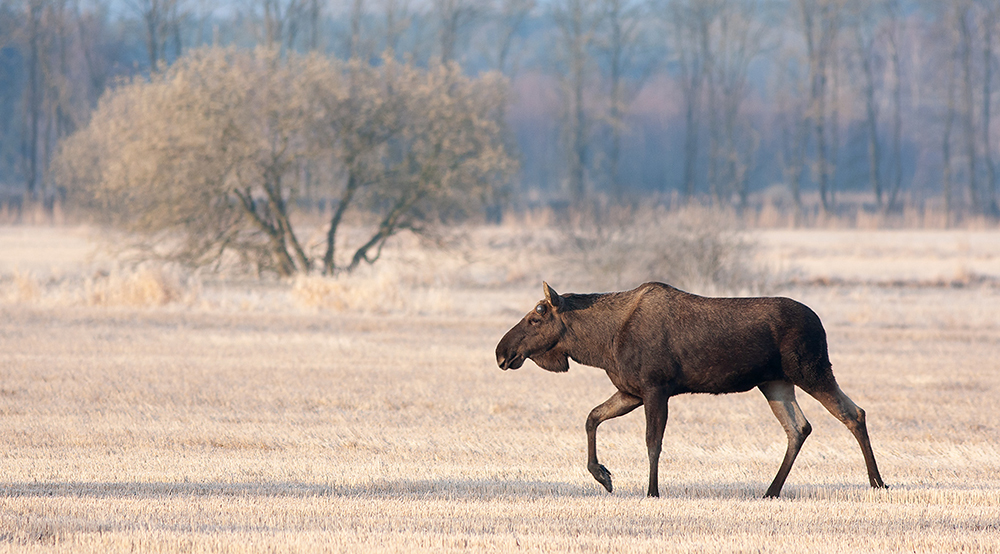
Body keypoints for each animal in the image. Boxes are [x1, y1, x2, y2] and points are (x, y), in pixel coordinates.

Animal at [495, 282, 887, 498]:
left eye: (536, 317)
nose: (502, 352)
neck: (600, 344)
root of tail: (820, 323)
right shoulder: (631, 391)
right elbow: (592, 417)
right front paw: (603, 476)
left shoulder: (656, 387)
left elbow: (653, 442)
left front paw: (652, 491)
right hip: (775, 382)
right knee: (799, 427)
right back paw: (771, 490)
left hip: (811, 369)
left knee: (853, 413)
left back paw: (877, 482)